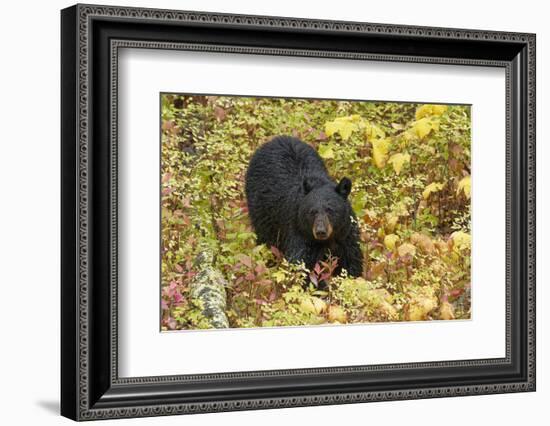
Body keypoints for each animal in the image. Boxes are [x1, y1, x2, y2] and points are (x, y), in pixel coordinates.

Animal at [245, 135, 362, 278]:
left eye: (330, 210)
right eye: (312, 211)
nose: (321, 231)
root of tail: (276, 139)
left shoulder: (346, 234)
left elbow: (351, 261)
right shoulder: (299, 231)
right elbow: (302, 265)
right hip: (263, 211)